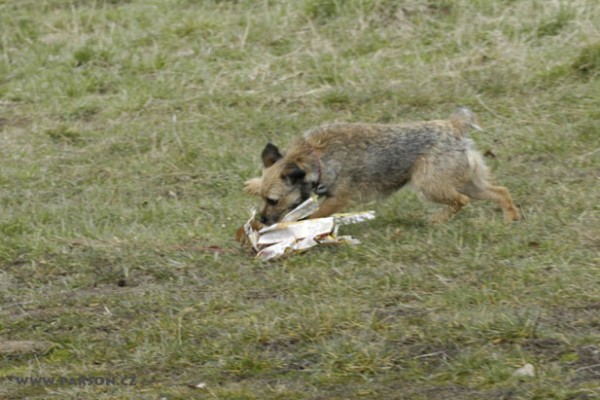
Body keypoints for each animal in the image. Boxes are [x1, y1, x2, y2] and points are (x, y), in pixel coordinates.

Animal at [244, 108, 520, 227]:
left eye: (273, 200)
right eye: (263, 198)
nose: (261, 220)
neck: (315, 156)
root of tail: (453, 126)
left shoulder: (338, 199)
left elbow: (316, 214)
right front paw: (253, 183)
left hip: (430, 185)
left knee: (460, 201)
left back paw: (437, 220)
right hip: (468, 182)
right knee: (501, 191)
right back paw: (509, 218)